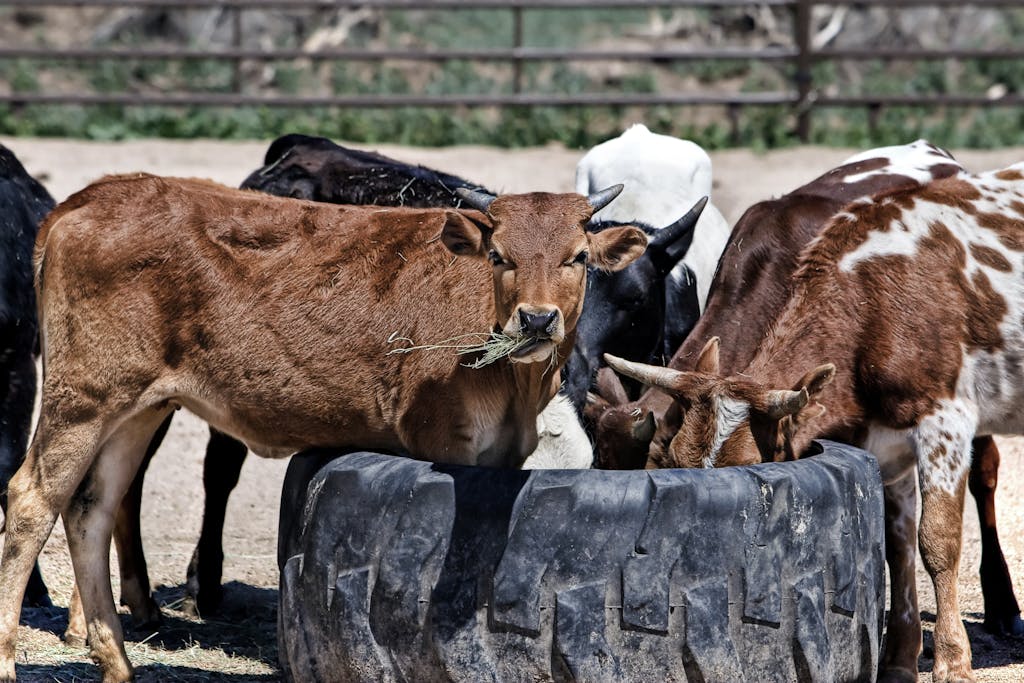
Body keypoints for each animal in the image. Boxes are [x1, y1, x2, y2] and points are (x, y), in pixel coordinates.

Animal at [0, 174, 643, 679]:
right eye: (499, 256)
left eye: (577, 257)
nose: (535, 319)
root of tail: (91, 197)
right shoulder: (443, 441)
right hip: (84, 397)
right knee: (32, 499)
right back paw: (10, 659)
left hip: (137, 407)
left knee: (93, 508)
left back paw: (116, 662)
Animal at [602, 161, 1024, 683]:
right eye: (674, 461)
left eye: (751, 467)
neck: (872, 301)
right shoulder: (886, 445)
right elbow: (898, 547)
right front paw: (899, 659)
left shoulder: (944, 421)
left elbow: (937, 542)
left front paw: (950, 659)